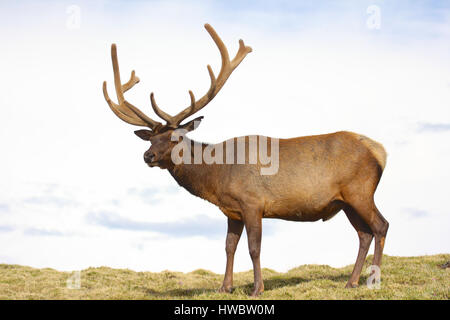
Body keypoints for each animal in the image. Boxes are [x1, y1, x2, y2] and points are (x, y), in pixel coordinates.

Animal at [103, 23, 388, 296]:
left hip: (360, 190)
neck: (217, 176)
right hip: (345, 201)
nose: (147, 155)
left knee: (380, 226)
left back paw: (371, 281)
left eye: (176, 137)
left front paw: (256, 288)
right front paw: (224, 287)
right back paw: (351, 282)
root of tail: (380, 151)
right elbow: (229, 246)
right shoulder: (232, 210)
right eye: (150, 139)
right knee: (364, 233)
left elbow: (253, 247)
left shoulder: (253, 202)